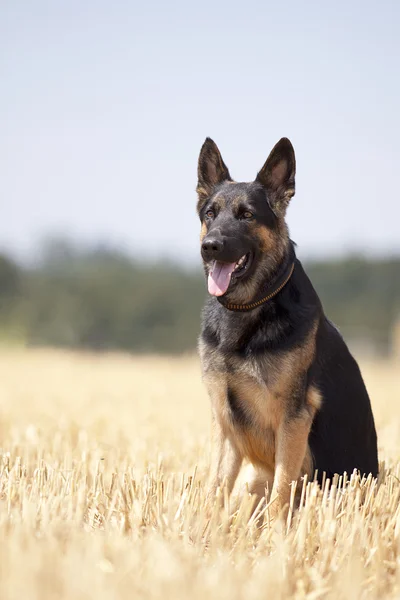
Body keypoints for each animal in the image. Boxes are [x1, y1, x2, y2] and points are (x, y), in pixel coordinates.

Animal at [197, 137, 378, 520]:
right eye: (210, 214)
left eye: (247, 215)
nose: (210, 246)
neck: (249, 308)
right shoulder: (224, 423)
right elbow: (215, 489)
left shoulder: (293, 420)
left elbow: (282, 492)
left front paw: (275, 534)